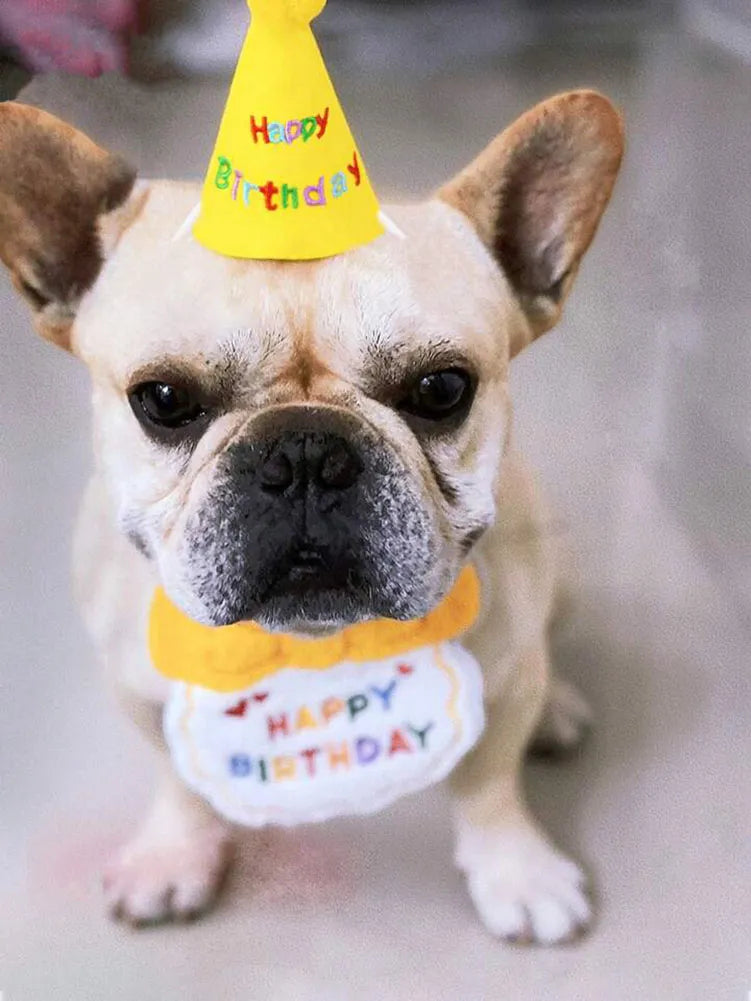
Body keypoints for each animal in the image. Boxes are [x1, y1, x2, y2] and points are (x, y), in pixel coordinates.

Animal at [0, 90, 624, 940]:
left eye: (441, 388)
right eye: (162, 398)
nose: (303, 451)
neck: (307, 647)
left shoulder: (502, 684)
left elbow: (490, 784)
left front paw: (514, 869)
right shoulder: (138, 689)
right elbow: (177, 779)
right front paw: (173, 853)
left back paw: (557, 706)